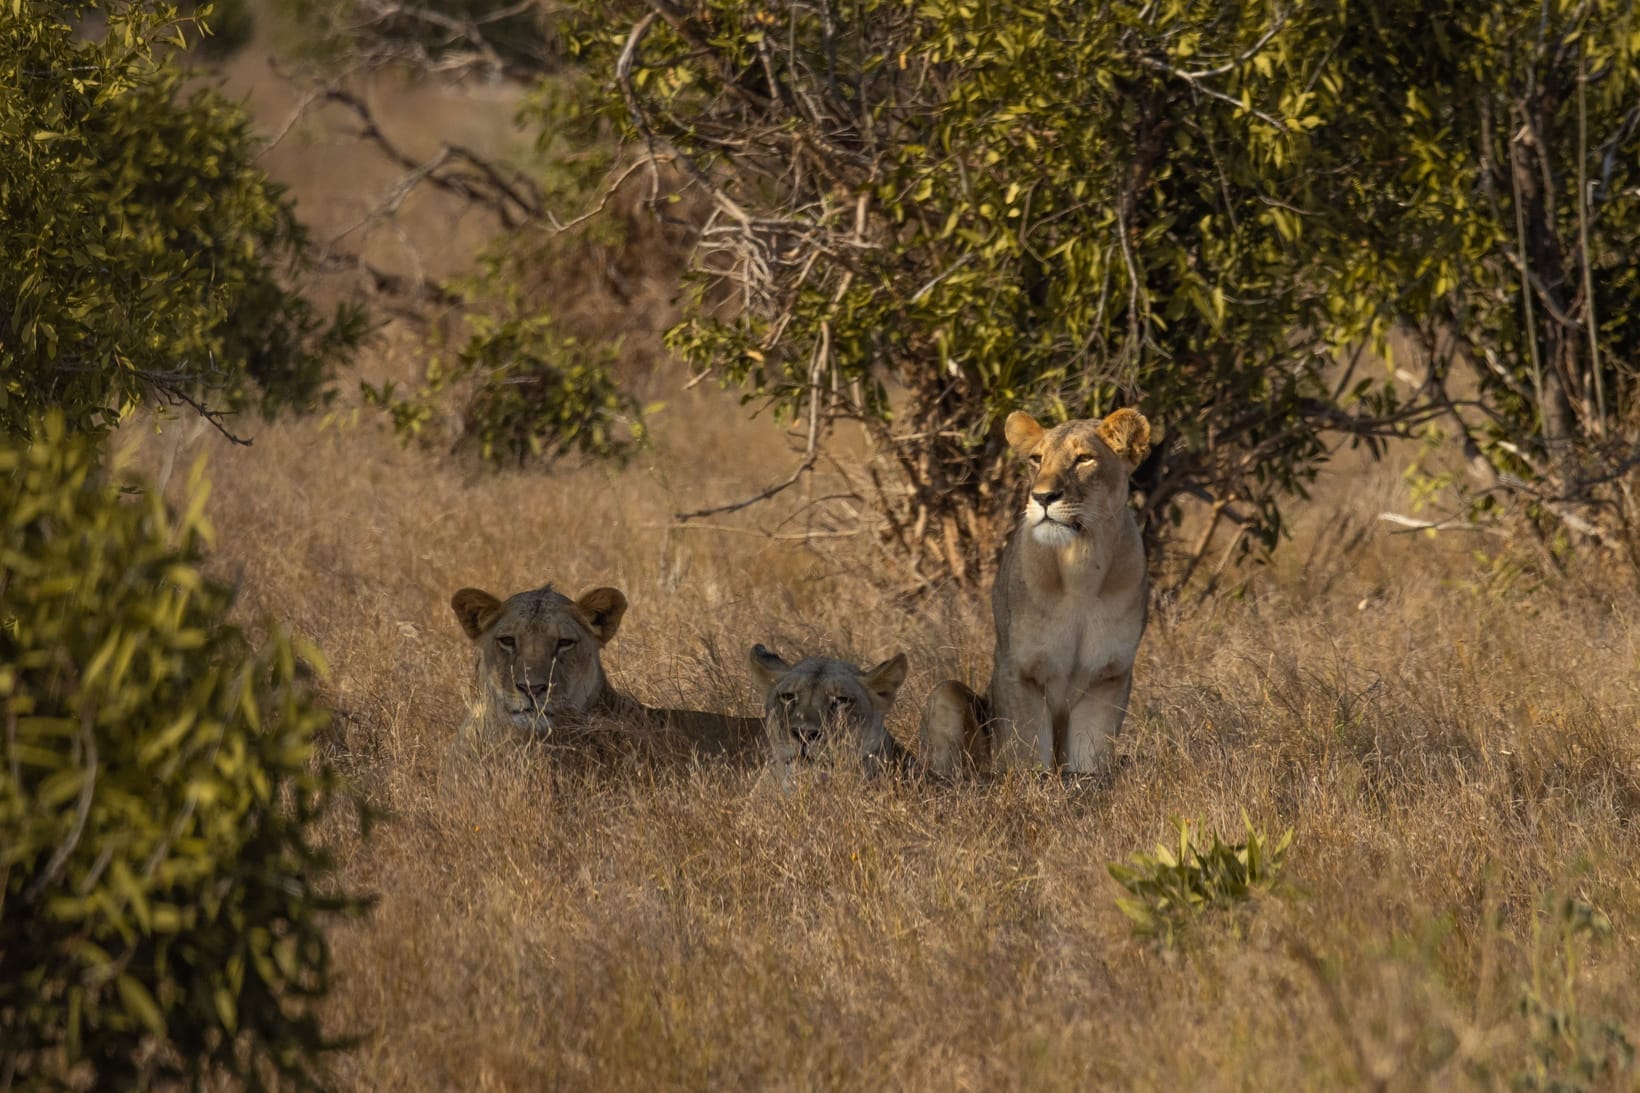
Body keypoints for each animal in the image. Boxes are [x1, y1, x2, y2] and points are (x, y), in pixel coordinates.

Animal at [920, 407, 1152, 776]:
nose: (1042, 497)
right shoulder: (1021, 669)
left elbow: (1091, 758)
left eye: (1084, 459)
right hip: (946, 693)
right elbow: (1025, 752)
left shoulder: (1108, 675)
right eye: (1036, 459)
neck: (1080, 566)